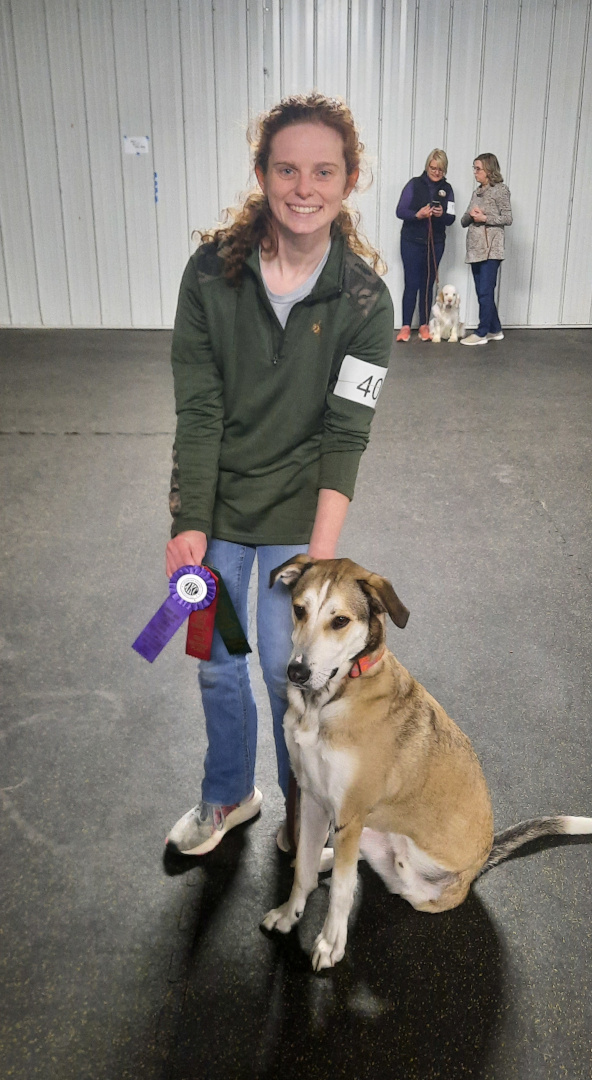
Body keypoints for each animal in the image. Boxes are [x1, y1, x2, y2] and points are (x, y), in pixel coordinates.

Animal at [262, 557, 592, 972]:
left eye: (340, 621)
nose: (297, 672)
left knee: (373, 875)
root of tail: (477, 869)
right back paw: (327, 856)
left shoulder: (350, 812)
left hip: (408, 873)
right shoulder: (312, 798)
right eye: (299, 610)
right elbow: (304, 872)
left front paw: (329, 944)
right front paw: (288, 915)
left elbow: (341, 890)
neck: (326, 701)